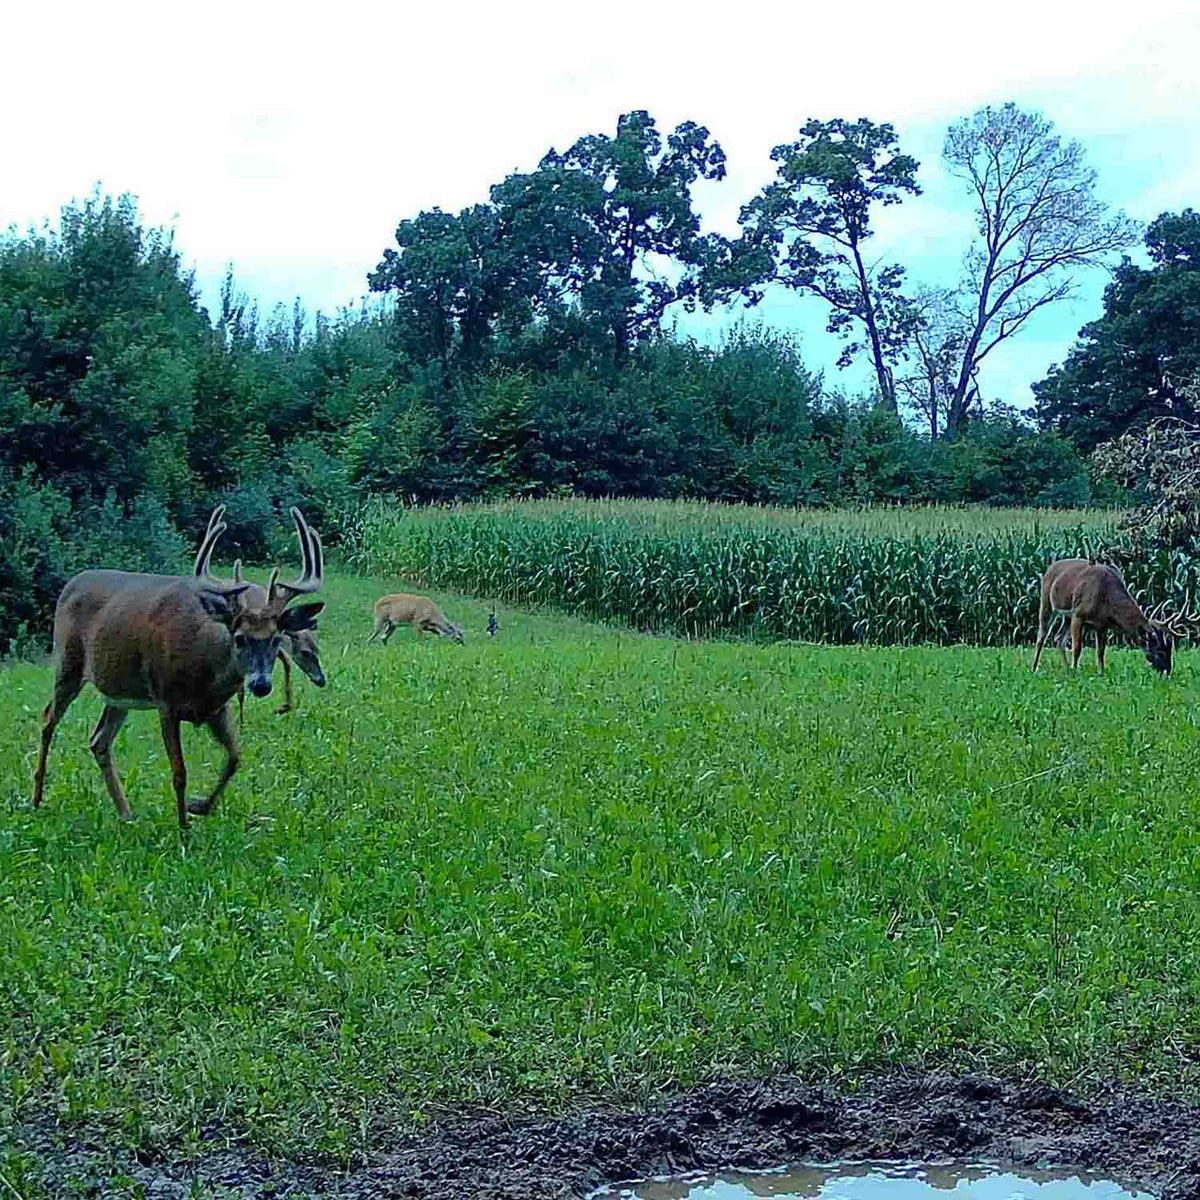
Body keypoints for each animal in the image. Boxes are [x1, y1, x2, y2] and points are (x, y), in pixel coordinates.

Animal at [192, 514, 326, 726]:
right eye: (305, 653)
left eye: (317, 650)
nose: (321, 680)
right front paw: (241, 721)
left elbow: (286, 660)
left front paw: (284, 706)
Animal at [1031, 557, 1190, 675]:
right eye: (1159, 651)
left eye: (1170, 649)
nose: (1167, 672)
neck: (1106, 596)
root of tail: (1050, 567)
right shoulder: (1079, 614)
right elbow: (1077, 648)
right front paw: (1075, 670)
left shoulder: (1102, 624)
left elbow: (1101, 651)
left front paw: (1101, 673)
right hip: (1047, 603)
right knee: (1041, 637)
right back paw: (1035, 668)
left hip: (1066, 616)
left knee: (1059, 638)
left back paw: (1065, 669)